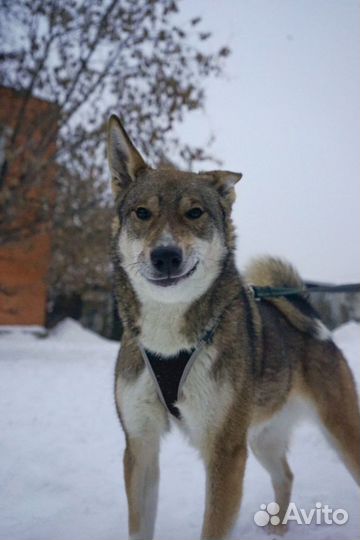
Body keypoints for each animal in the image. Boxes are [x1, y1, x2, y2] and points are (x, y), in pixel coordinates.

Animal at [107, 115, 360, 540]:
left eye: (195, 213)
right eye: (142, 213)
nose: (165, 255)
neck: (169, 338)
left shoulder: (225, 451)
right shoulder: (140, 445)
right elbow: (139, 526)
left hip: (337, 430)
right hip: (261, 438)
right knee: (286, 475)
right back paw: (276, 530)